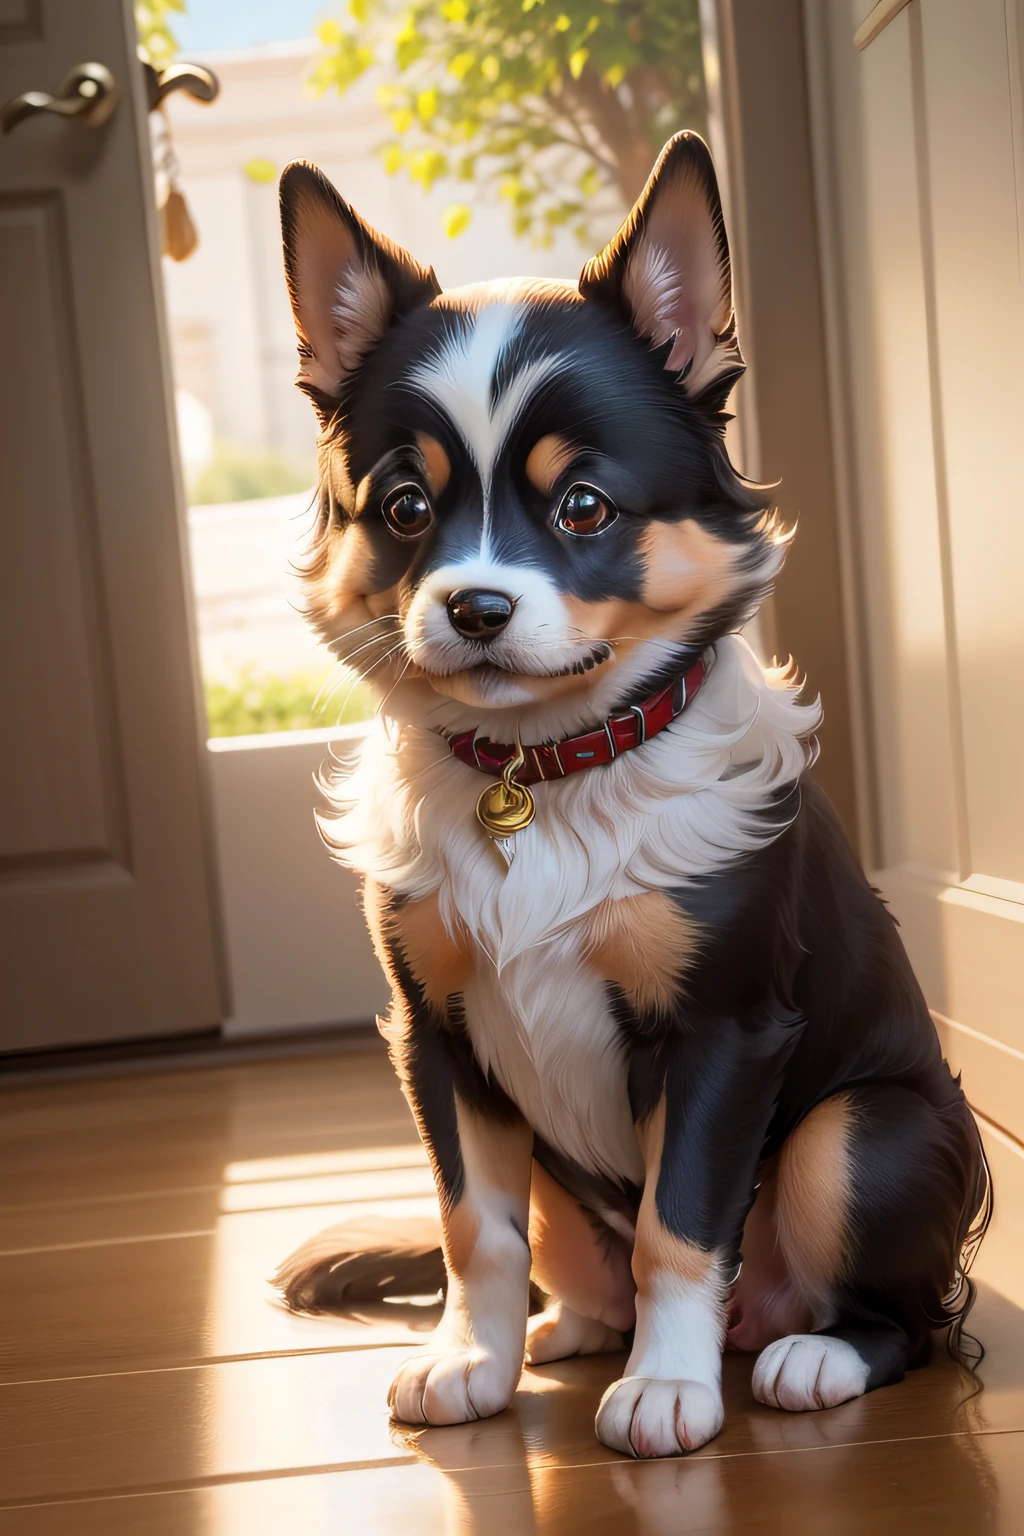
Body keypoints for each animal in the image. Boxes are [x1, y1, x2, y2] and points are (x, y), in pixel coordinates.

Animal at [270, 129, 982, 1449]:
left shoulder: (723, 1035)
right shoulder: (436, 1036)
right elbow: (473, 1227)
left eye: (584, 505)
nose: (474, 606)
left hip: (863, 1130)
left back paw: (809, 1354)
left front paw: (668, 1388)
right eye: (405, 508)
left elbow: (678, 1227)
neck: (543, 771)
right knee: (563, 1255)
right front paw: (472, 1359)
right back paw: (565, 1333)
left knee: (906, 1320)